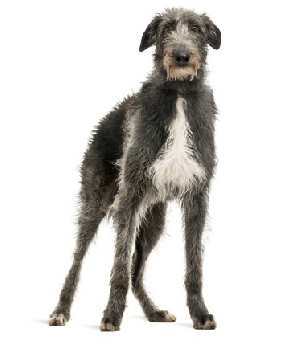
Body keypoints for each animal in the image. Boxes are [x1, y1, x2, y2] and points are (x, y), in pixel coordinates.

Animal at [48, 6, 220, 332]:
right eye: (166, 29)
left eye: (196, 29)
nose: (181, 56)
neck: (178, 93)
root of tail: (102, 122)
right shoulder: (129, 197)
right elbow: (118, 266)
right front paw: (111, 315)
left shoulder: (197, 199)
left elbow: (194, 265)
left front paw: (201, 314)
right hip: (96, 203)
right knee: (78, 260)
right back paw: (60, 310)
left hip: (153, 220)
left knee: (136, 273)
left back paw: (154, 312)